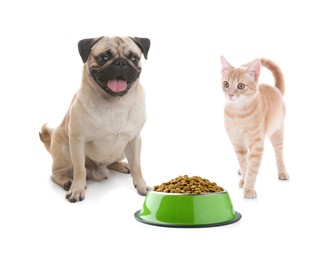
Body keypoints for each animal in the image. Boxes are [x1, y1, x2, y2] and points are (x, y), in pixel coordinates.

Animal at [39, 36, 152, 203]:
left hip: (122, 150)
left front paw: (142, 186)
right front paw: (77, 190)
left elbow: (137, 166)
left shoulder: (134, 140)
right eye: (103, 58)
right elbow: (80, 170)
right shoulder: (78, 141)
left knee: (113, 162)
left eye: (133, 58)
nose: (121, 63)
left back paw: (121, 165)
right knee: (57, 174)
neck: (115, 103)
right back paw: (66, 182)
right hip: (64, 149)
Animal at [220, 56, 290, 199]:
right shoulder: (238, 144)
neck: (238, 113)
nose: (230, 94)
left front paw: (249, 188)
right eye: (226, 84)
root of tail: (276, 89)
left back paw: (282, 172)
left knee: (279, 153)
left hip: (277, 132)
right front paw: (244, 178)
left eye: (240, 86)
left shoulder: (257, 144)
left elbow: (252, 169)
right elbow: (244, 164)